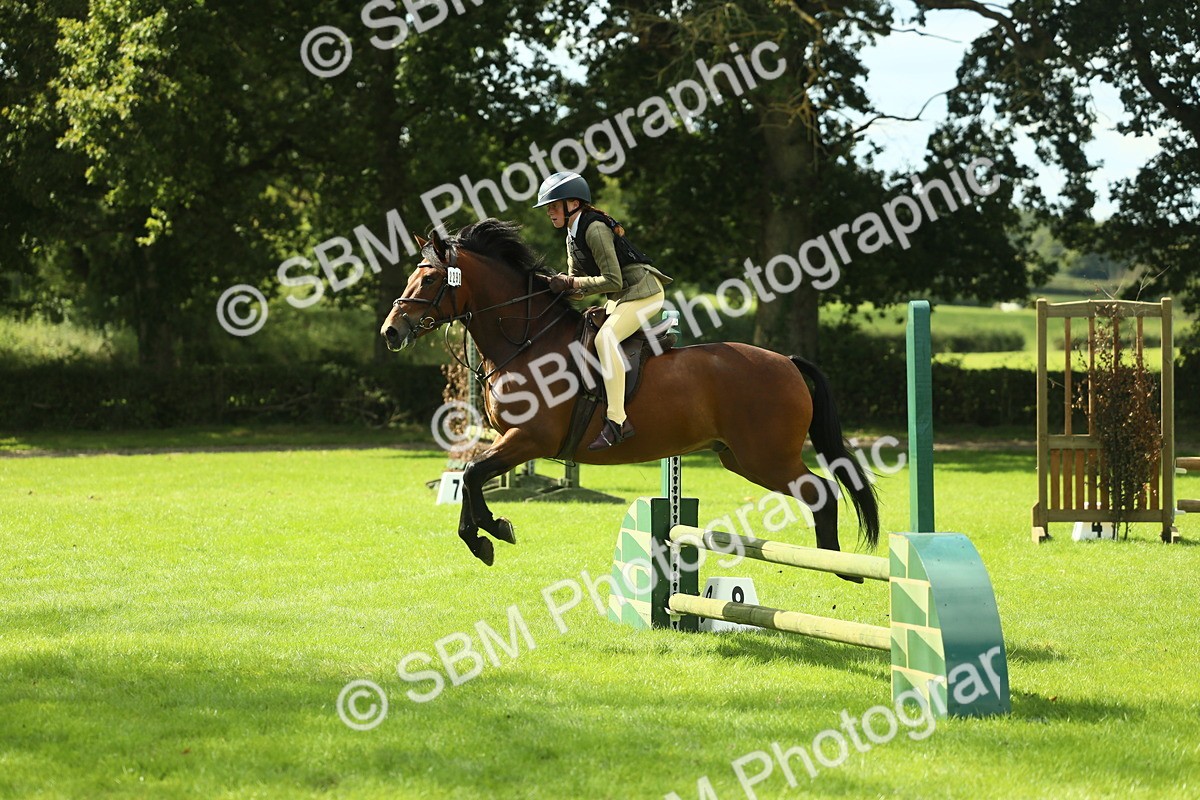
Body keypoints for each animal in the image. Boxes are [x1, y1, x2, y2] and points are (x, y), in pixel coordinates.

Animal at [380, 218, 879, 568]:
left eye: (428, 280)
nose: (390, 332)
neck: (528, 340)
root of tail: (788, 363)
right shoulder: (513, 441)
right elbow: (473, 476)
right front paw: (490, 531)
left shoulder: (529, 439)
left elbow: (472, 474)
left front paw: (488, 534)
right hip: (740, 458)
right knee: (818, 492)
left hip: (767, 456)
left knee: (822, 491)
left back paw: (836, 564)